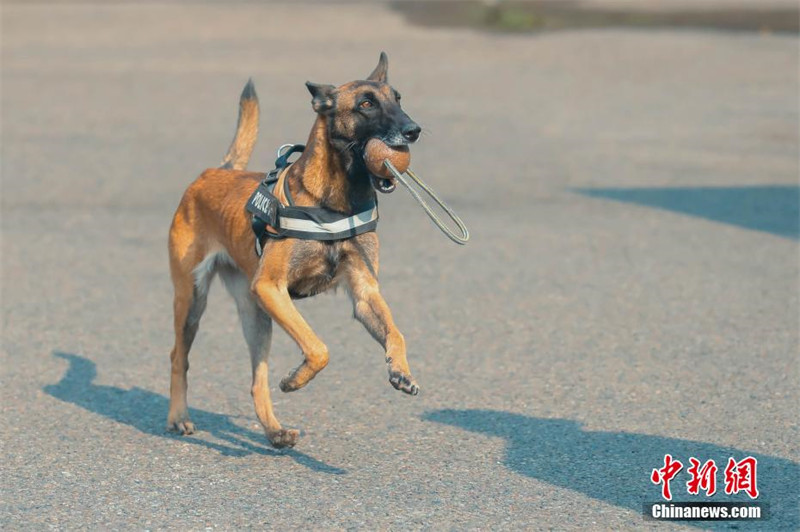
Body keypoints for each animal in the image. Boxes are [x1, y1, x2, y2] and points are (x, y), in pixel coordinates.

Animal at [166, 54, 422, 446]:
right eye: (366, 104)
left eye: (397, 98)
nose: (413, 130)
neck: (334, 202)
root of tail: (215, 172)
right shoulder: (271, 287)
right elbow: (318, 348)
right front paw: (295, 379)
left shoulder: (365, 293)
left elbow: (396, 332)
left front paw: (401, 370)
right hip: (193, 300)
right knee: (178, 357)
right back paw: (179, 417)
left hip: (257, 317)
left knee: (257, 381)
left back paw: (274, 431)